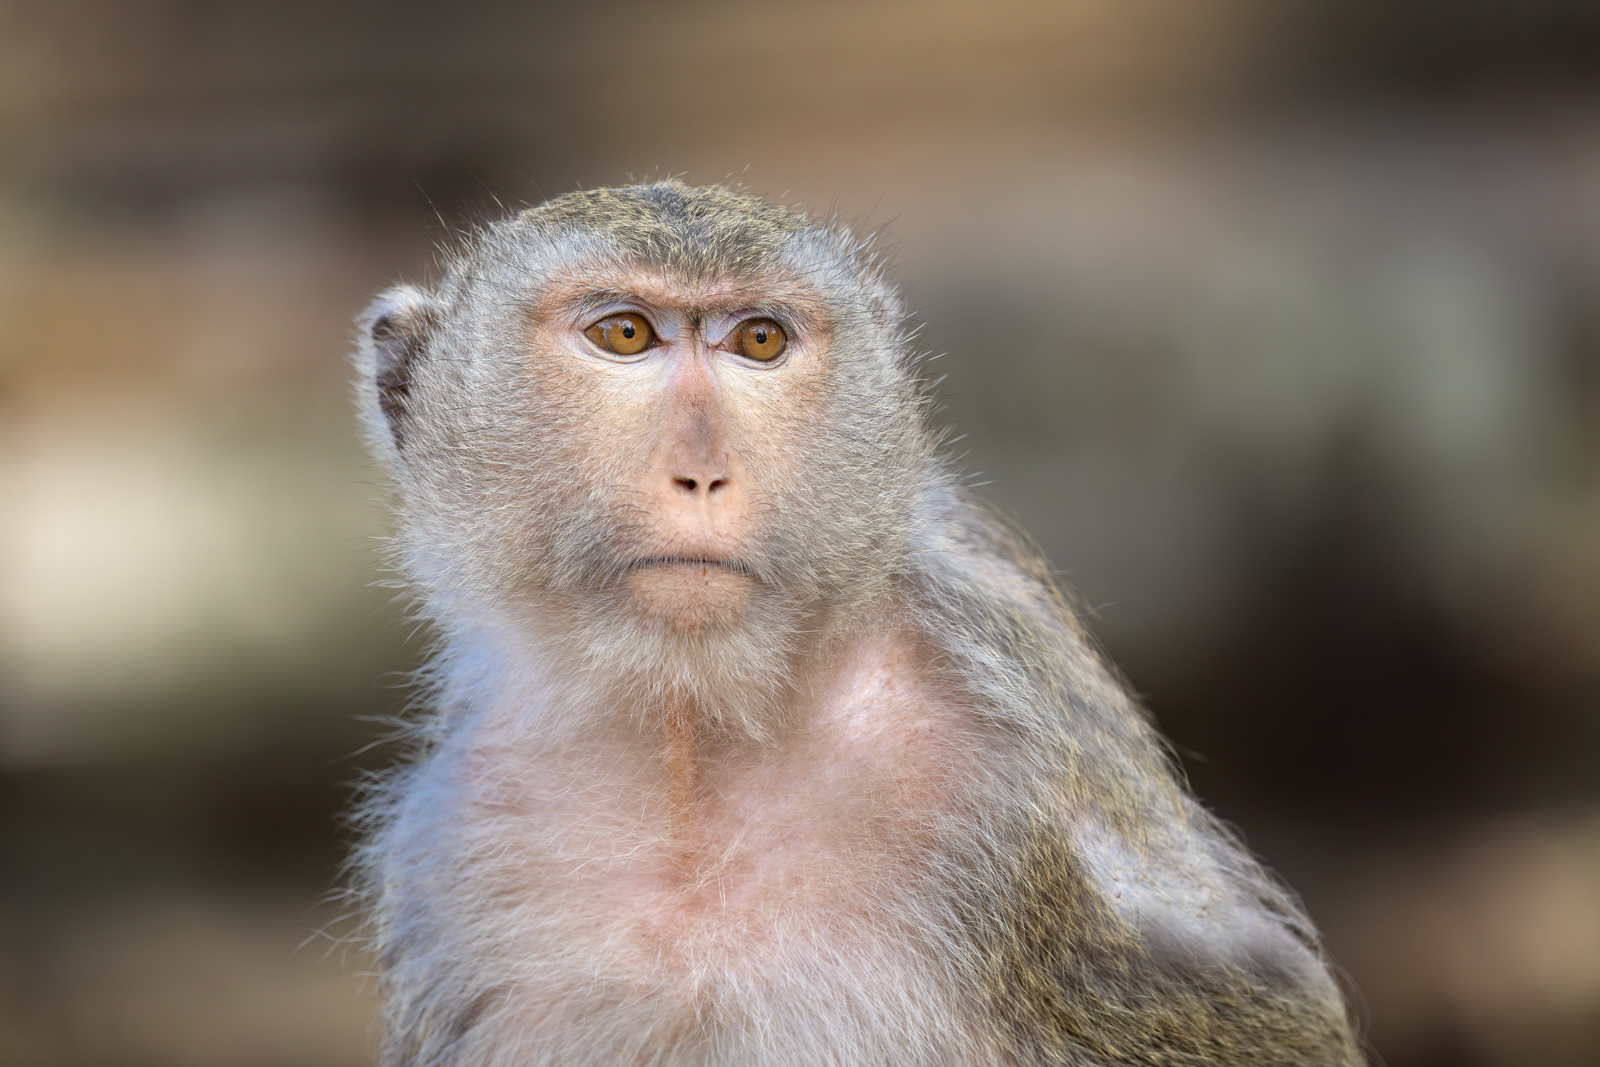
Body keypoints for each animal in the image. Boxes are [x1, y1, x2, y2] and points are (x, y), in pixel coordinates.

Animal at [348, 181, 1363, 1066]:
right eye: (624, 333)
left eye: (759, 340)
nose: (703, 471)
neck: (695, 737)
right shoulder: (456, 842)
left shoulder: (1009, 767)